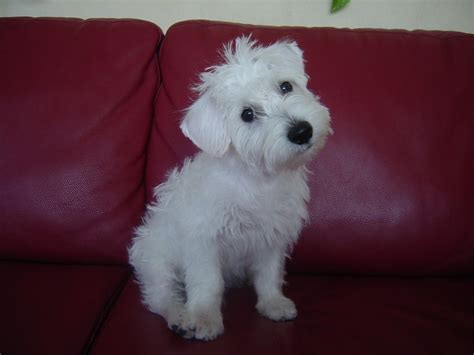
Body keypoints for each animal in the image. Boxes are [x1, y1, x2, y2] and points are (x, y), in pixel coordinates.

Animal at [128, 36, 332, 342]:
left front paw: (273, 303)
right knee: (160, 296)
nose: (301, 131)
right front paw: (204, 318)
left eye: (285, 86)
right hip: (157, 262)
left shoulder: (273, 236)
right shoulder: (204, 242)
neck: (258, 178)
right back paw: (179, 316)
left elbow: (269, 274)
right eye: (247, 115)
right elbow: (207, 284)